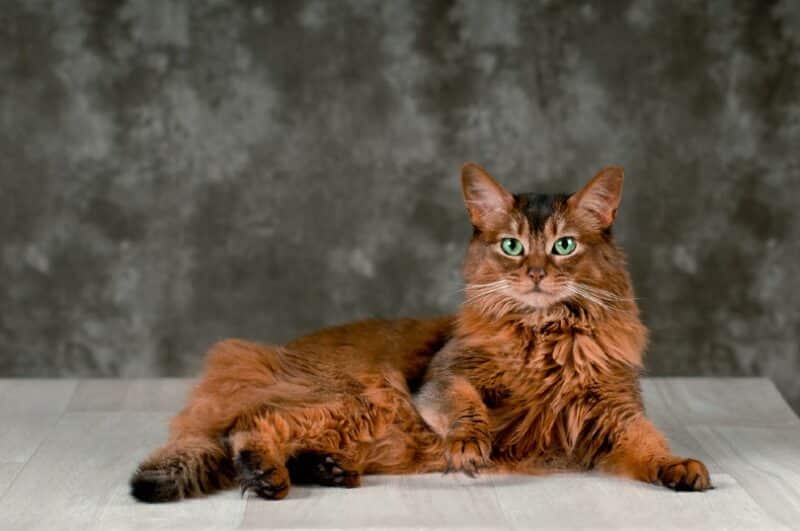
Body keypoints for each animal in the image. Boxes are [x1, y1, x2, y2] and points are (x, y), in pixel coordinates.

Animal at [133, 164, 712, 504]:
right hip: (366, 397)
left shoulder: (616, 411)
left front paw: (675, 466)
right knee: (251, 422)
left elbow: (649, 442)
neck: (544, 336)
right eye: (511, 246)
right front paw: (469, 443)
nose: (535, 274)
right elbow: (465, 405)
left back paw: (324, 468)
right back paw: (265, 471)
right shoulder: (440, 377)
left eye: (564, 246)